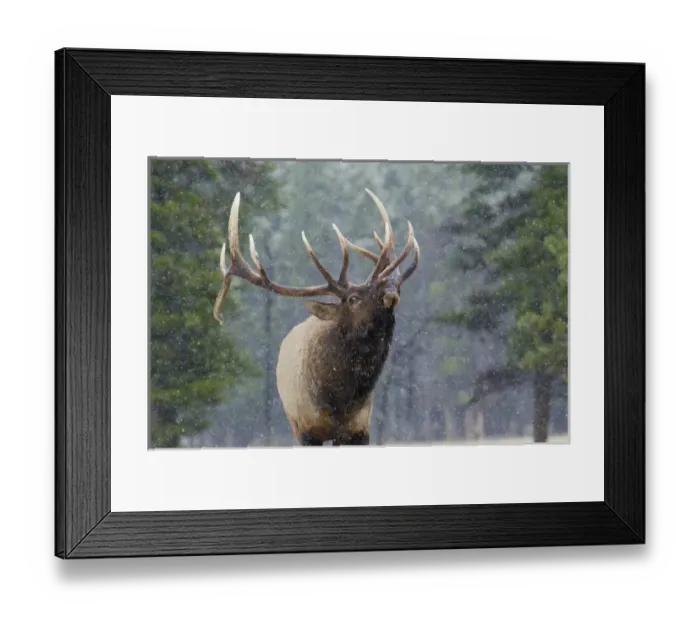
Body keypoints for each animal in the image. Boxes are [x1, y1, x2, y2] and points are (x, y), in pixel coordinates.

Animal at [213, 189, 420, 447]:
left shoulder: (359, 429)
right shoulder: (307, 429)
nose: (390, 287)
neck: (341, 401)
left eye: (398, 286)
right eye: (353, 298)